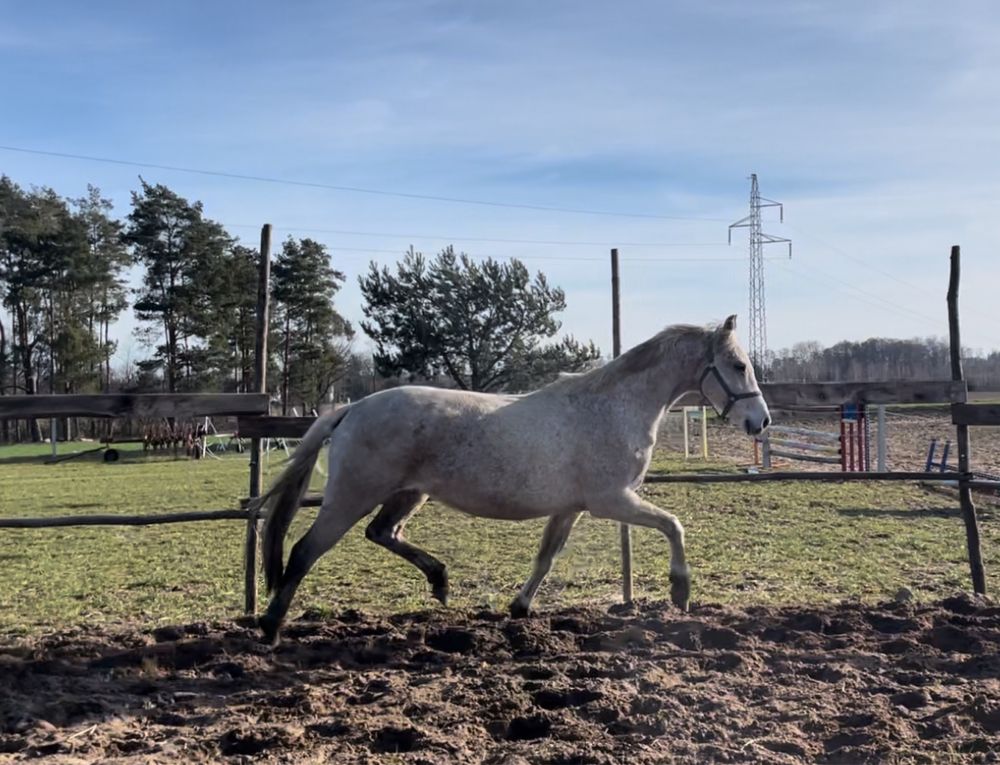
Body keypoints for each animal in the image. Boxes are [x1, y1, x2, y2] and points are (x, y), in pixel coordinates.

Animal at [254, 316, 768, 644]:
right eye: (739, 365)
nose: (759, 422)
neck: (612, 407)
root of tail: (351, 408)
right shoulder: (613, 501)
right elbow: (673, 525)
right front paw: (680, 590)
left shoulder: (571, 508)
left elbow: (545, 558)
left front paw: (519, 608)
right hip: (352, 496)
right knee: (304, 551)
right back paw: (270, 628)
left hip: (407, 494)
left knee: (382, 532)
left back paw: (440, 581)